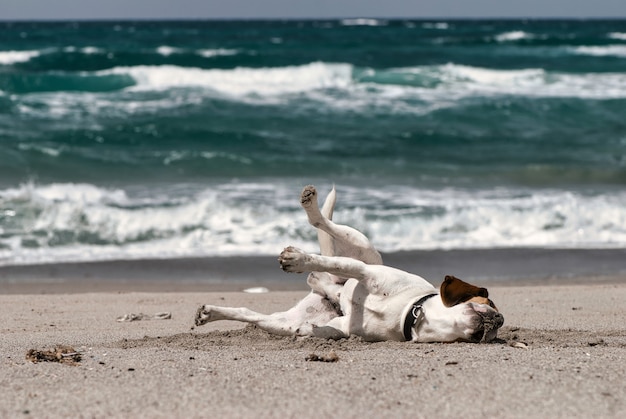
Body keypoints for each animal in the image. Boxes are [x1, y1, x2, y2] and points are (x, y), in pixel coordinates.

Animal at [195, 185, 502, 342]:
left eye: (482, 336)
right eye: (488, 302)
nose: (498, 320)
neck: (411, 312)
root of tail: (325, 291)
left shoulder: (342, 328)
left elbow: (324, 329)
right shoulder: (365, 271)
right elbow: (325, 261)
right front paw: (298, 258)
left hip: (282, 321)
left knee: (251, 313)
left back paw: (211, 313)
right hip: (363, 246)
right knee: (323, 226)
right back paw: (310, 210)